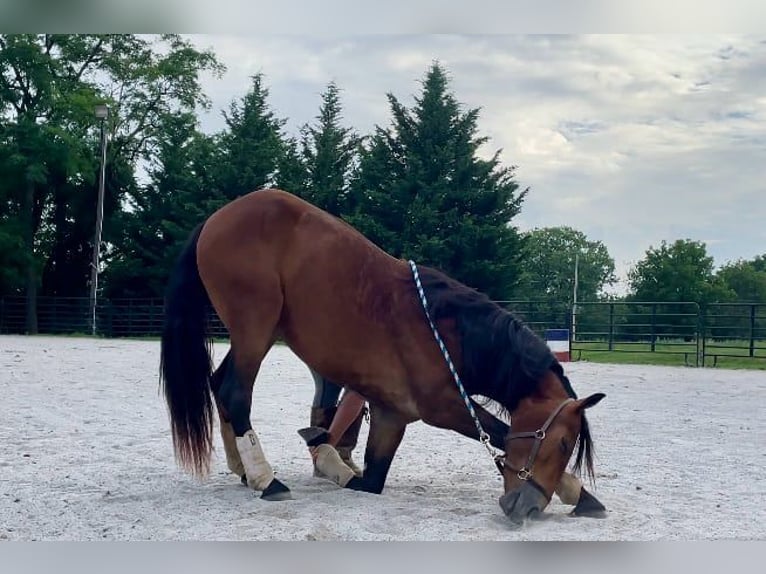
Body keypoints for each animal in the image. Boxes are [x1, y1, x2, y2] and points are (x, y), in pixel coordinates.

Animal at [160, 189, 608, 528]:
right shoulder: (441, 406)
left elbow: (371, 478)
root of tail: (217, 218)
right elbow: (496, 430)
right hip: (256, 329)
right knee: (235, 393)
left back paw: (243, 470)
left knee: (219, 385)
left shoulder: (392, 415)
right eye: (563, 442)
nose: (528, 506)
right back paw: (265, 479)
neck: (448, 329)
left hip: (256, 335)